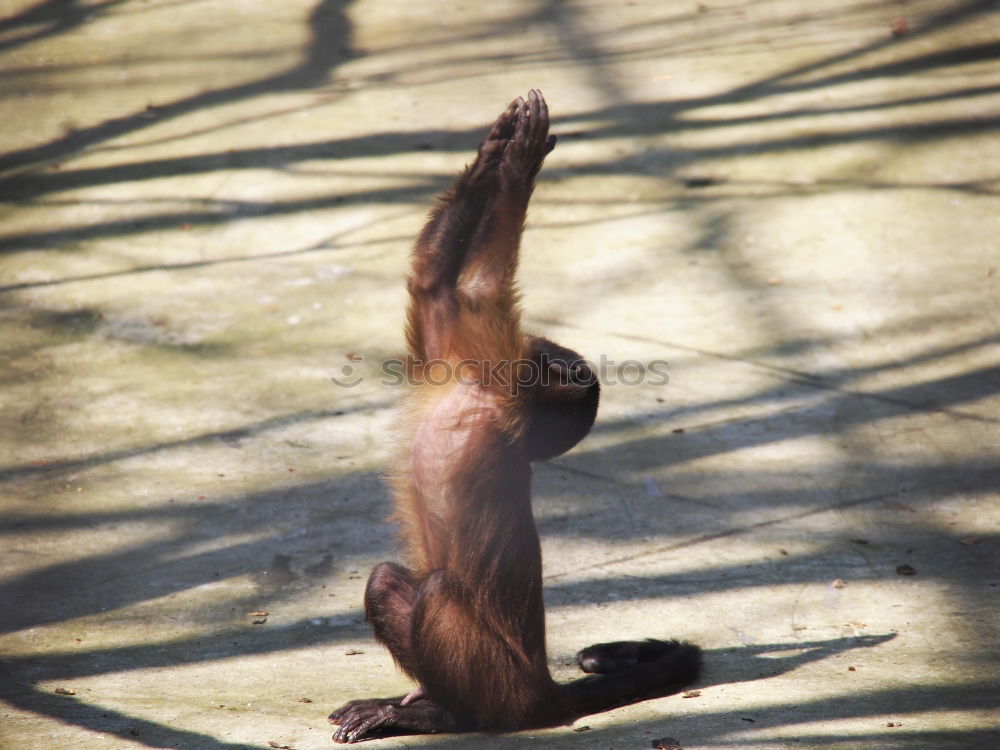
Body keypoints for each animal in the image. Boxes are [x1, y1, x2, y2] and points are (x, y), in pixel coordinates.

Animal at [326, 91, 696, 744]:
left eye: (547, 357)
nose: (555, 354)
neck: (480, 393)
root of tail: (541, 691)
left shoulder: (499, 371)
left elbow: (478, 287)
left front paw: (518, 164)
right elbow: (435, 282)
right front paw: (495, 152)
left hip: (498, 681)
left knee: (435, 592)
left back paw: (442, 716)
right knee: (387, 580)